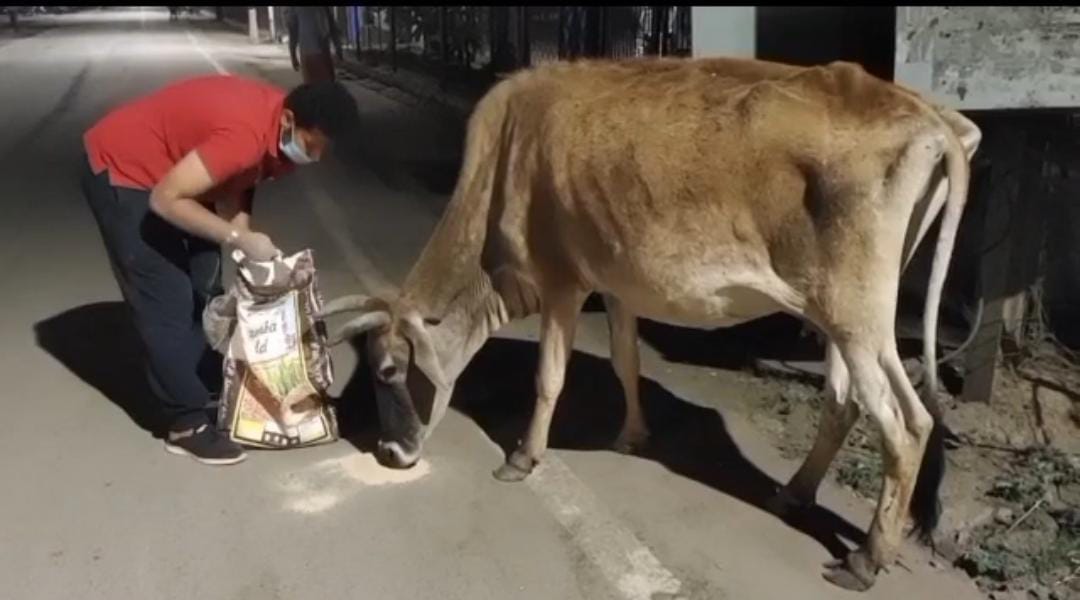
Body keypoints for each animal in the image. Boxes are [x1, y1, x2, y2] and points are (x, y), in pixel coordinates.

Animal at [317, 56, 980, 591]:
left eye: (387, 370)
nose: (391, 451)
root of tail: (931, 117)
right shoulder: (615, 283)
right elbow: (625, 360)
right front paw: (632, 434)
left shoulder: (563, 283)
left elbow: (549, 378)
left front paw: (523, 458)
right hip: (839, 318)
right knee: (843, 404)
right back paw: (792, 493)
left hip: (860, 318)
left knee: (907, 424)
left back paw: (865, 560)